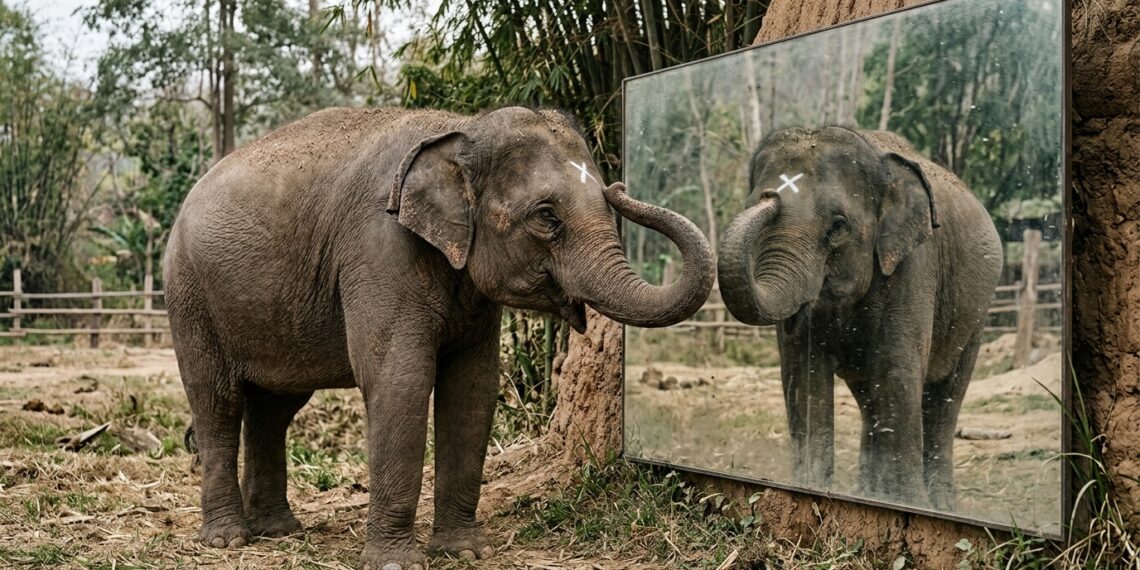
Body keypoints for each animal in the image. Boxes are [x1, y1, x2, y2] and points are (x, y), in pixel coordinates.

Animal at [163, 106, 714, 569]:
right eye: (546, 216)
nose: (620, 186)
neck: (462, 128)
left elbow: (473, 387)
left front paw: (464, 552)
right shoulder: (379, 248)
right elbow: (400, 380)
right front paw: (396, 564)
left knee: (274, 408)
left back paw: (278, 532)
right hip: (189, 297)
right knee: (217, 401)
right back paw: (228, 539)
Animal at [717, 126, 1002, 510]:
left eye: (838, 226)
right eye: (750, 206)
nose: (770, 195)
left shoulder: (913, 265)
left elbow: (897, 370)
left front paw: (910, 505)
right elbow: (803, 377)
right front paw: (809, 488)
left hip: (976, 314)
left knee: (944, 398)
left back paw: (940, 507)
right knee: (871, 400)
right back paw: (870, 493)